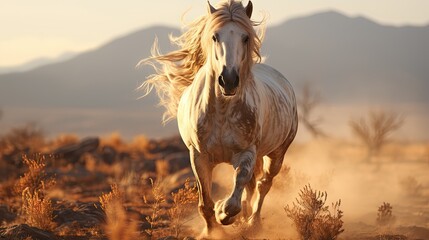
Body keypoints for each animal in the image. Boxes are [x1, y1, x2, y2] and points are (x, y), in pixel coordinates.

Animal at [139, 0, 296, 236]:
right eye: (214, 36)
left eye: (245, 37)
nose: (228, 80)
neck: (222, 112)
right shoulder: (199, 156)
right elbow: (205, 201)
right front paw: (211, 231)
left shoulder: (246, 153)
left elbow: (235, 197)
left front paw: (224, 213)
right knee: (253, 186)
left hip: (277, 154)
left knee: (263, 185)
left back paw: (253, 223)